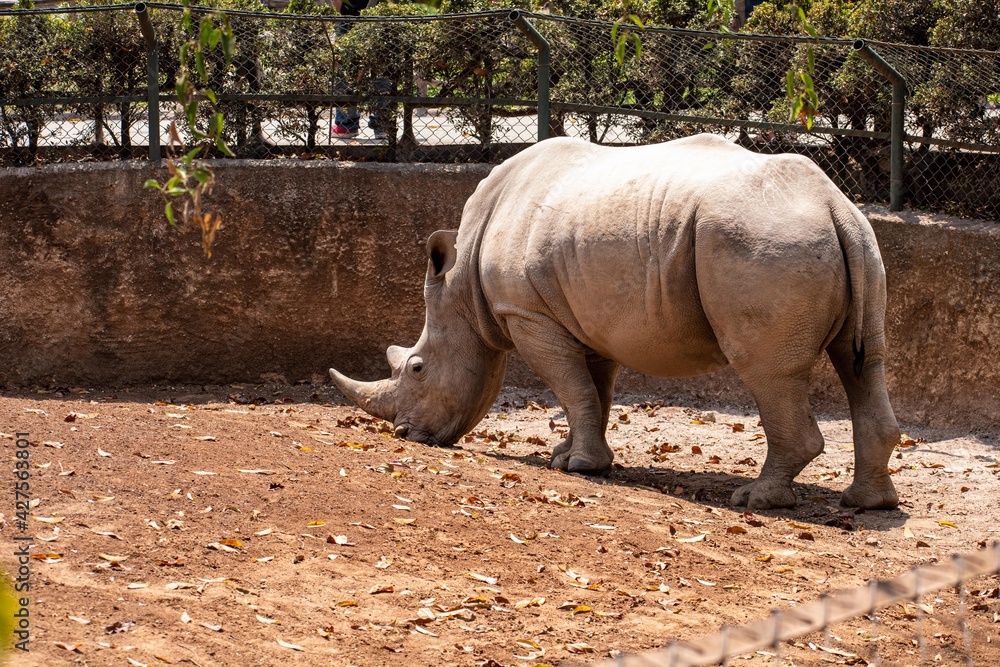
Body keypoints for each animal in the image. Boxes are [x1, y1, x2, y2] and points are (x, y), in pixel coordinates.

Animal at [330, 134, 900, 511]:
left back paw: (754, 500)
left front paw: (578, 467)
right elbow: (593, 391)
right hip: (854, 245)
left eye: (417, 368)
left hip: (763, 243)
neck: (464, 288)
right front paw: (575, 457)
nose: (406, 433)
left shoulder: (528, 314)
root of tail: (832, 203)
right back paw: (867, 504)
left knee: (767, 370)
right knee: (862, 362)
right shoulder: (584, 317)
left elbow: (571, 387)